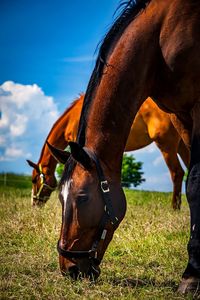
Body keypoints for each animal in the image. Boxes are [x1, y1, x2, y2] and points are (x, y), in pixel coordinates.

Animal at [27, 95, 189, 210]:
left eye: (34, 180)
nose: (34, 204)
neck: (72, 118)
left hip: (166, 145)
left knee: (177, 173)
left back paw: (174, 208)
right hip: (182, 145)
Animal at [45, 0, 200, 294]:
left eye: (82, 197)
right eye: (60, 197)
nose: (68, 269)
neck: (161, 36)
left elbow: (196, 184)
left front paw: (192, 275)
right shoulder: (181, 115)